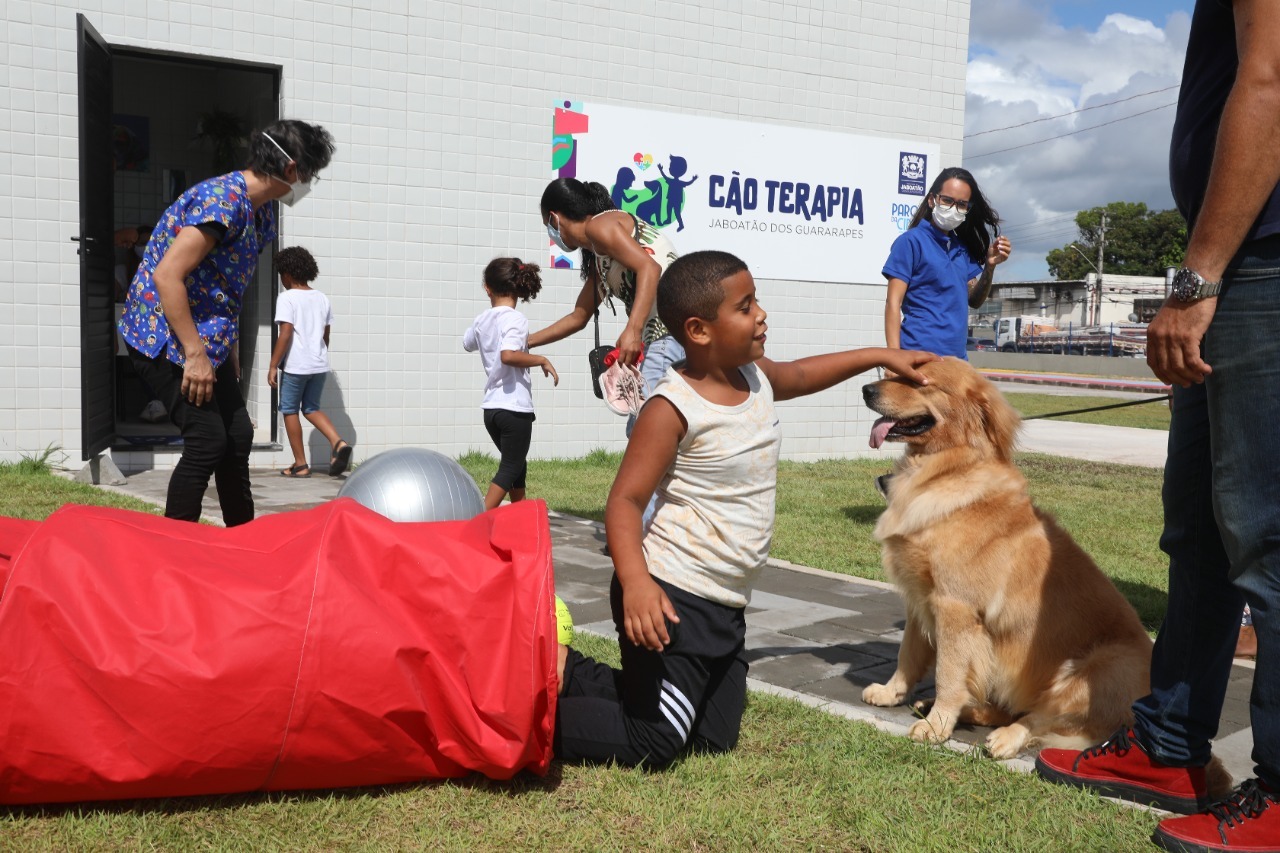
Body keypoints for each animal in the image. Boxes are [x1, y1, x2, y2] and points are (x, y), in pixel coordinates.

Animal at [860, 358, 1152, 758]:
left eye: (921, 382)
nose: (866, 390)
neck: (946, 470)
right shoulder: (919, 599)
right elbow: (909, 654)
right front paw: (893, 693)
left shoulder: (955, 608)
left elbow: (948, 674)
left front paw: (937, 726)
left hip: (1098, 669)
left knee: (1039, 717)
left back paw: (1005, 736)